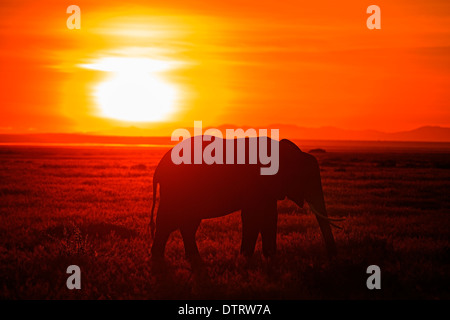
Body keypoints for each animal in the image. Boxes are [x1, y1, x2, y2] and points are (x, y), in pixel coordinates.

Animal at [149, 136, 340, 264]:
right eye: (305, 179)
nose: (332, 258)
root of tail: (159, 167)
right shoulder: (255, 184)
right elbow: (253, 217)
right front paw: (247, 258)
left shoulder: (267, 188)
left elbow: (270, 216)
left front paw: (270, 257)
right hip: (175, 189)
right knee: (168, 222)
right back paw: (159, 261)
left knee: (187, 224)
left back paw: (193, 259)